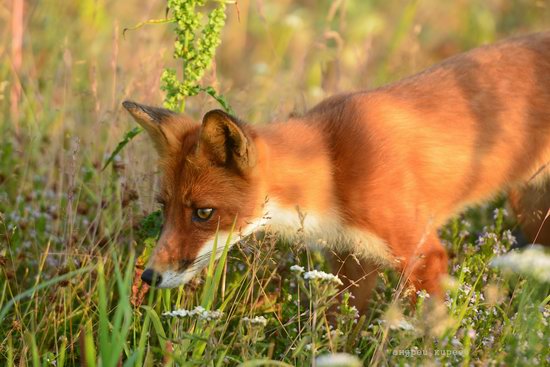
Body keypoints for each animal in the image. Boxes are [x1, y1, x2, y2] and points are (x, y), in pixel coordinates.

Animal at [123, 32, 550, 314]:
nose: (149, 277)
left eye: (203, 213)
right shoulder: (352, 262)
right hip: (532, 217)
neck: (334, 169)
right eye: (164, 207)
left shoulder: (424, 255)